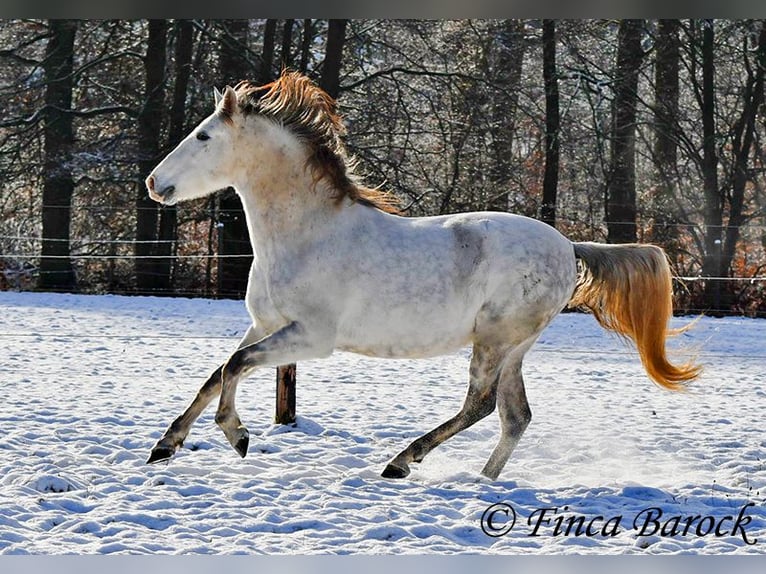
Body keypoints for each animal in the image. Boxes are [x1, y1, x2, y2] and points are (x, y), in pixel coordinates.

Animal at [144, 71, 704, 482]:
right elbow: (218, 371)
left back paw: (401, 462)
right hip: (514, 347)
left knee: (481, 405)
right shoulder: (266, 325)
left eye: (203, 135)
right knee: (515, 416)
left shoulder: (310, 338)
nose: (154, 183)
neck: (307, 234)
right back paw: (481, 480)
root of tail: (568, 245)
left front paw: (236, 436)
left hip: (495, 340)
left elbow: (234, 366)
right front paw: (166, 446)